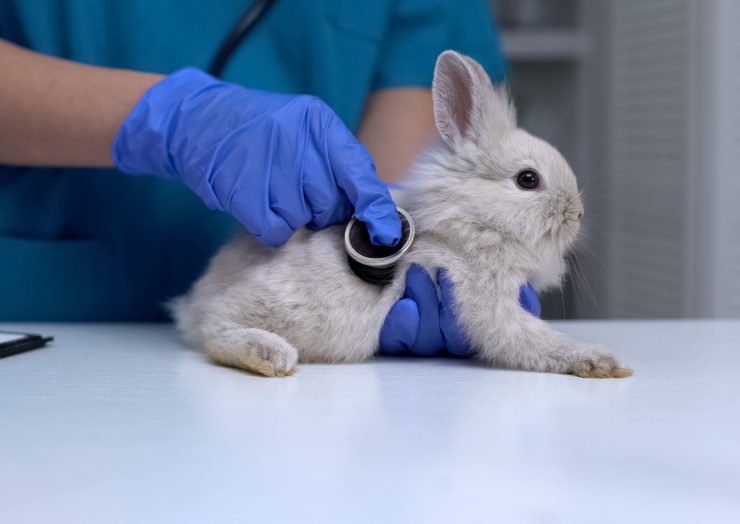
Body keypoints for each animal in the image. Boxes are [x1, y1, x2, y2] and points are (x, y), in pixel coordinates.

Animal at [172, 51, 632, 378]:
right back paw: (272, 356)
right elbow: (533, 339)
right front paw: (603, 363)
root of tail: (195, 301)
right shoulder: (484, 300)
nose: (577, 214)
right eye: (528, 180)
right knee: (215, 333)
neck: (474, 221)